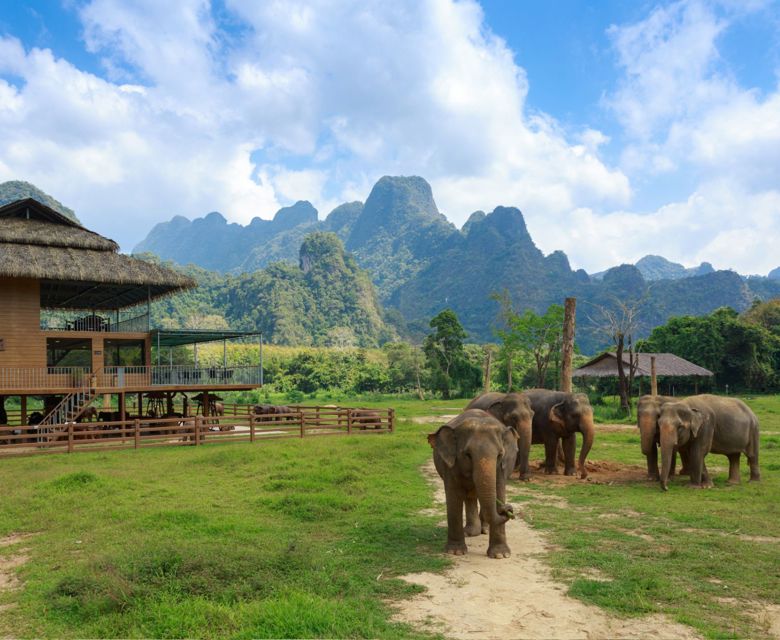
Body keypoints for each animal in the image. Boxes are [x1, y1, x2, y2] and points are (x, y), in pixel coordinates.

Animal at [428, 409, 519, 558]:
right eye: (467, 455)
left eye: (500, 455)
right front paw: (456, 552)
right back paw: (471, 533)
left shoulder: (502, 467)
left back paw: (484, 530)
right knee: (469, 496)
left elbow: (499, 490)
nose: (508, 509)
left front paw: (500, 555)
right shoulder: (451, 466)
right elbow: (454, 497)